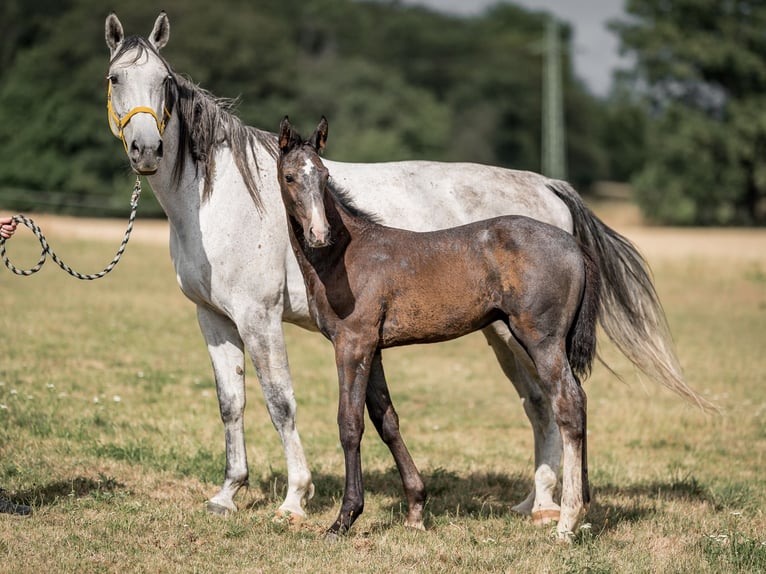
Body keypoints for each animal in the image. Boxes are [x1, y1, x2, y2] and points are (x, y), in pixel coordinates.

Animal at [274, 118, 600, 544]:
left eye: (325, 175)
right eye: (290, 176)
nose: (319, 233)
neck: (344, 256)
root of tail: (572, 244)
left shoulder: (352, 344)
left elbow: (350, 424)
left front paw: (343, 519)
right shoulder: (373, 348)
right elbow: (386, 419)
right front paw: (415, 509)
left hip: (542, 341)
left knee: (568, 404)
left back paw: (566, 521)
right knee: (579, 399)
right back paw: (583, 509)